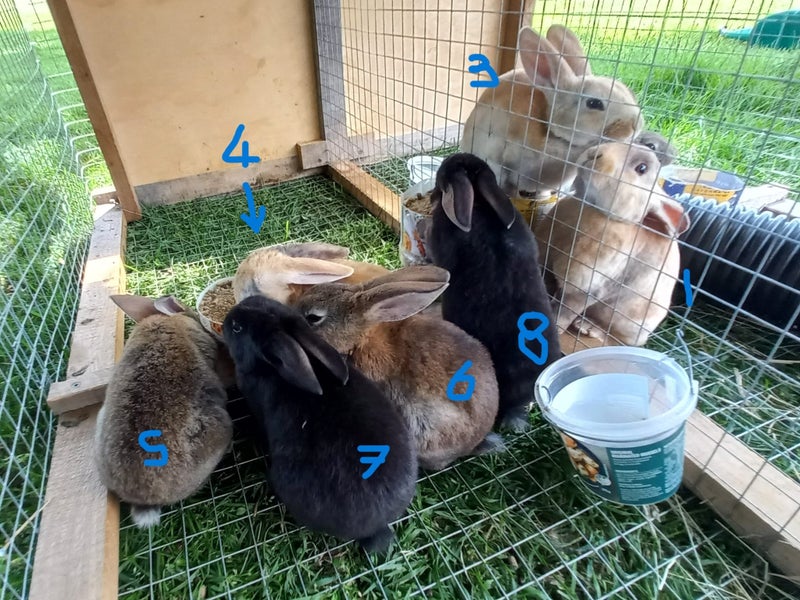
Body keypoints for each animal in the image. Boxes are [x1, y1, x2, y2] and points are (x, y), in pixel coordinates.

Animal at [534, 142, 690, 346]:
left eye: (641, 168)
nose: (595, 153)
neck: (591, 207)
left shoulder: (586, 286)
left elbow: (565, 310)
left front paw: (555, 327)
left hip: (630, 324)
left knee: (617, 340)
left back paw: (588, 328)